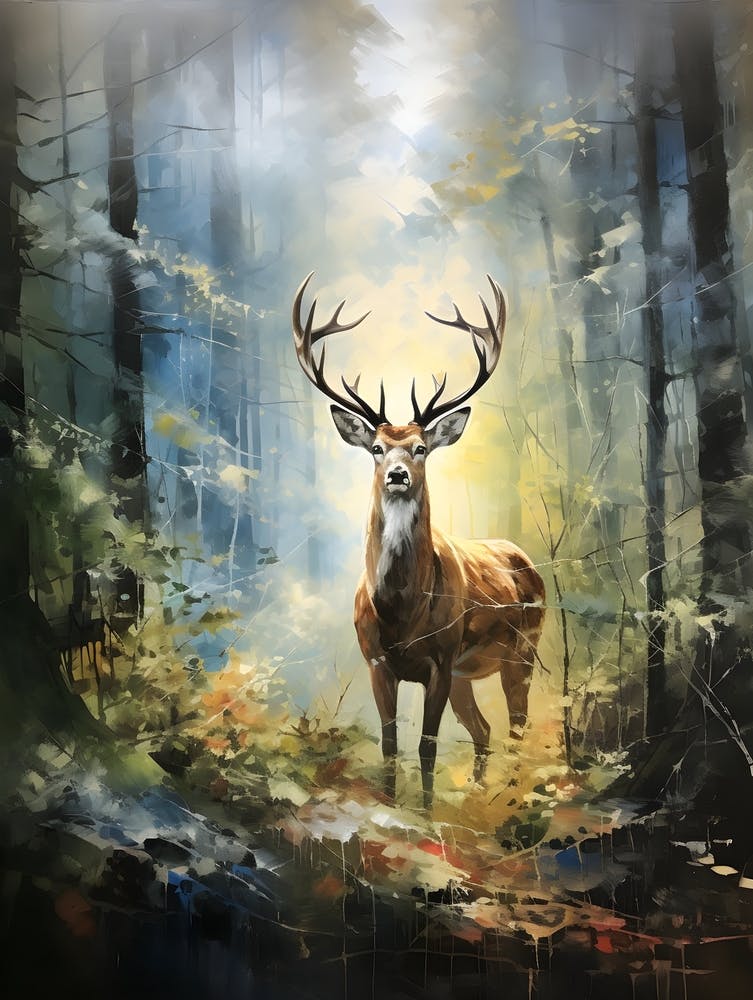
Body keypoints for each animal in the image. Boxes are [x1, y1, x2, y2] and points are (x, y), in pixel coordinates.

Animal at [292, 273, 546, 808]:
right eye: (376, 447)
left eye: (421, 447)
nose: (398, 474)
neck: (401, 613)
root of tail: (524, 560)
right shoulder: (376, 661)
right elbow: (390, 745)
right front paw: (392, 806)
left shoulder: (441, 659)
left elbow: (427, 747)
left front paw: (427, 814)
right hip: (471, 675)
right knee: (485, 730)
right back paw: (478, 790)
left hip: (523, 650)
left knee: (516, 725)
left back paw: (512, 796)